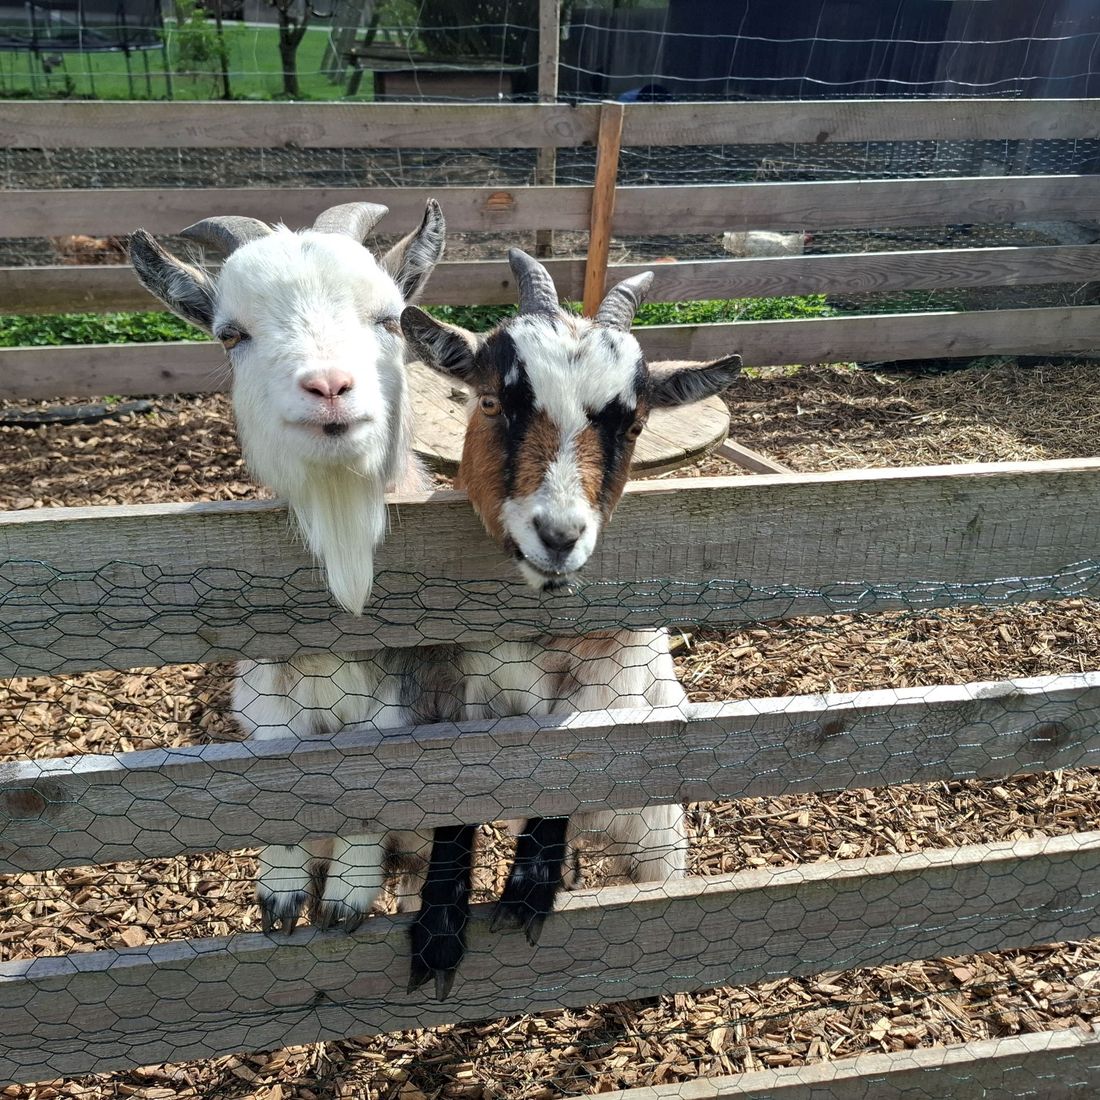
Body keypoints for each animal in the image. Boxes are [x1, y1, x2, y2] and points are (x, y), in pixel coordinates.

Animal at [129, 201, 449, 933]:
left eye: (389, 319)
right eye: (232, 334)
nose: (329, 386)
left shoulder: (403, 702)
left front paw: (349, 896)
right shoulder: (264, 702)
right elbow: (277, 783)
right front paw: (280, 891)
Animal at [400, 249, 742, 998]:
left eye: (634, 425)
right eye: (492, 401)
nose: (558, 535)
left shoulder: (602, 687)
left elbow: (566, 771)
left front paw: (528, 892)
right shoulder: (454, 691)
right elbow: (449, 808)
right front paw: (438, 934)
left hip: (656, 831)